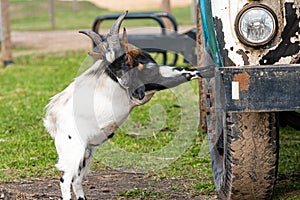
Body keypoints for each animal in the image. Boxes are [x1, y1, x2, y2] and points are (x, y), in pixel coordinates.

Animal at [44, 11, 213, 200]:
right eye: (110, 65)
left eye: (124, 56)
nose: (131, 89)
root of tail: (53, 119)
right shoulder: (154, 81)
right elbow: (187, 73)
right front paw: (214, 69)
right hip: (74, 150)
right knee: (65, 180)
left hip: (86, 152)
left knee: (76, 181)